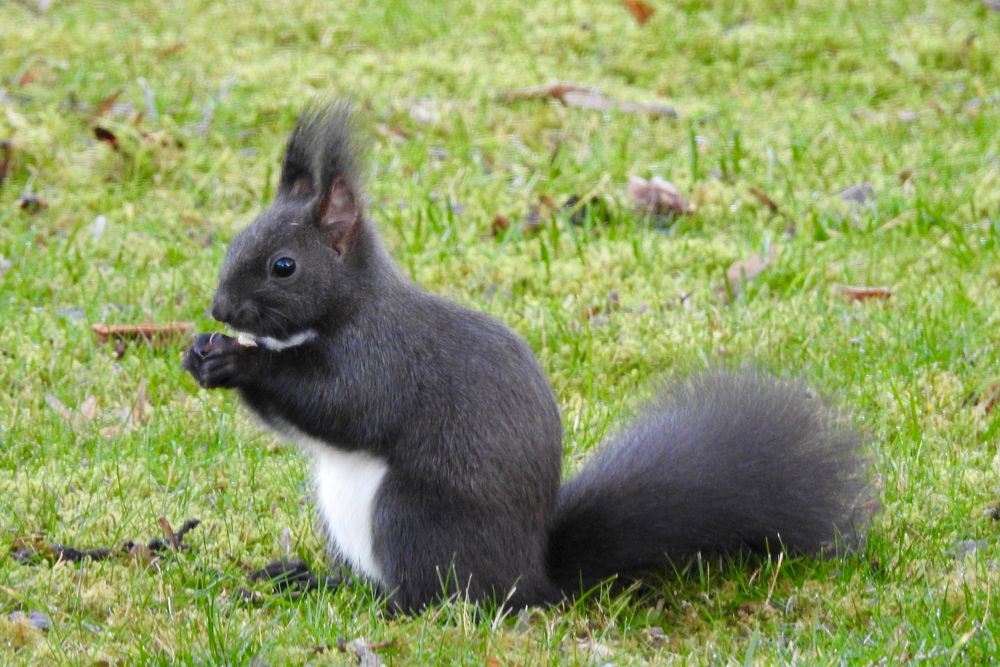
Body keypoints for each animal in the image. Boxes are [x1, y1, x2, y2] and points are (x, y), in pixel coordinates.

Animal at [184, 103, 872, 616]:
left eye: (283, 266)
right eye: (239, 239)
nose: (219, 308)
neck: (346, 310)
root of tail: (532, 578)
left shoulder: (383, 360)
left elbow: (341, 406)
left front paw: (242, 364)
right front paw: (202, 355)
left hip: (411, 515)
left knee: (439, 595)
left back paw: (388, 606)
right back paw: (308, 580)